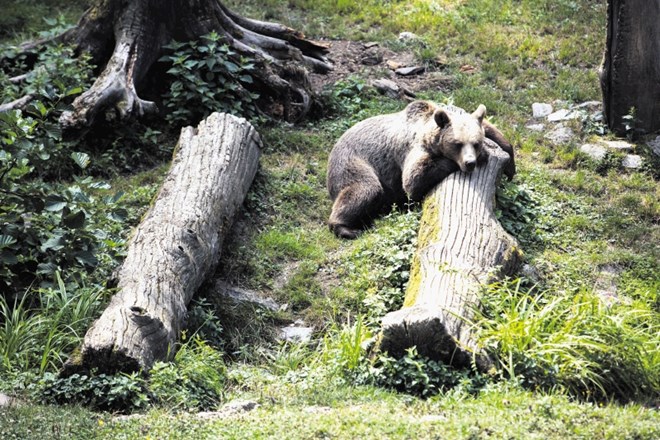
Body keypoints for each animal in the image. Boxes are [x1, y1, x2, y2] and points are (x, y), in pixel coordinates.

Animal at [324, 100, 516, 239]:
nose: (470, 163)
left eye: (475, 143)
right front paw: (483, 156)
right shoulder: (411, 149)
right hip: (352, 164)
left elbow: (494, 132)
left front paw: (510, 165)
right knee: (365, 189)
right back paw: (347, 228)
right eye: (457, 144)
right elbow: (413, 179)